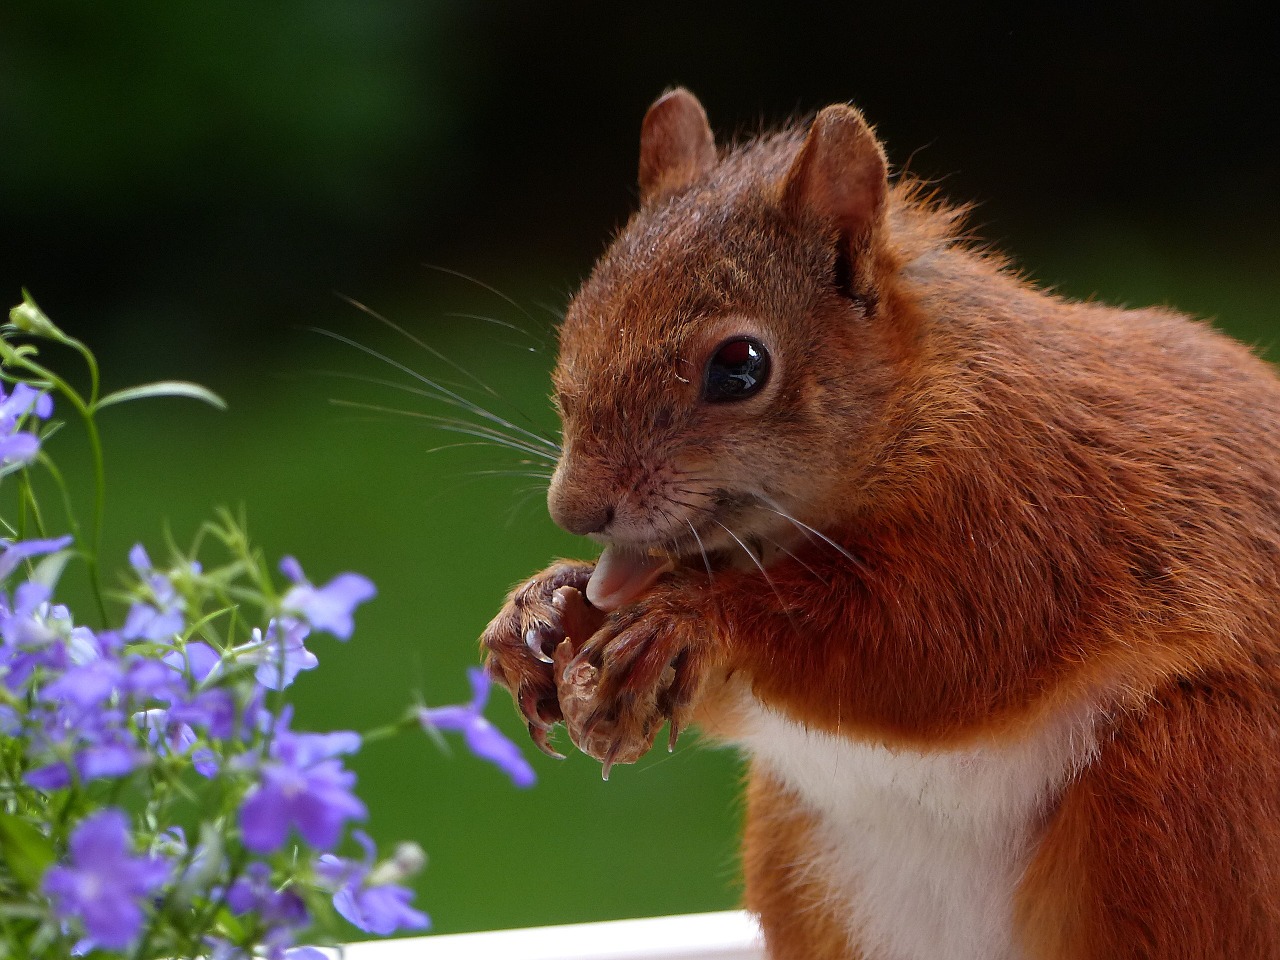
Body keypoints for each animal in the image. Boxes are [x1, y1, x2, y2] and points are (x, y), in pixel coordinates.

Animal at [481, 86, 1280, 957]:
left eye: (741, 367)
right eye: (577, 322)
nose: (574, 509)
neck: (922, 396)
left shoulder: (1029, 510)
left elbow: (930, 647)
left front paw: (691, 615)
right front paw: (543, 605)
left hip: (1179, 791)